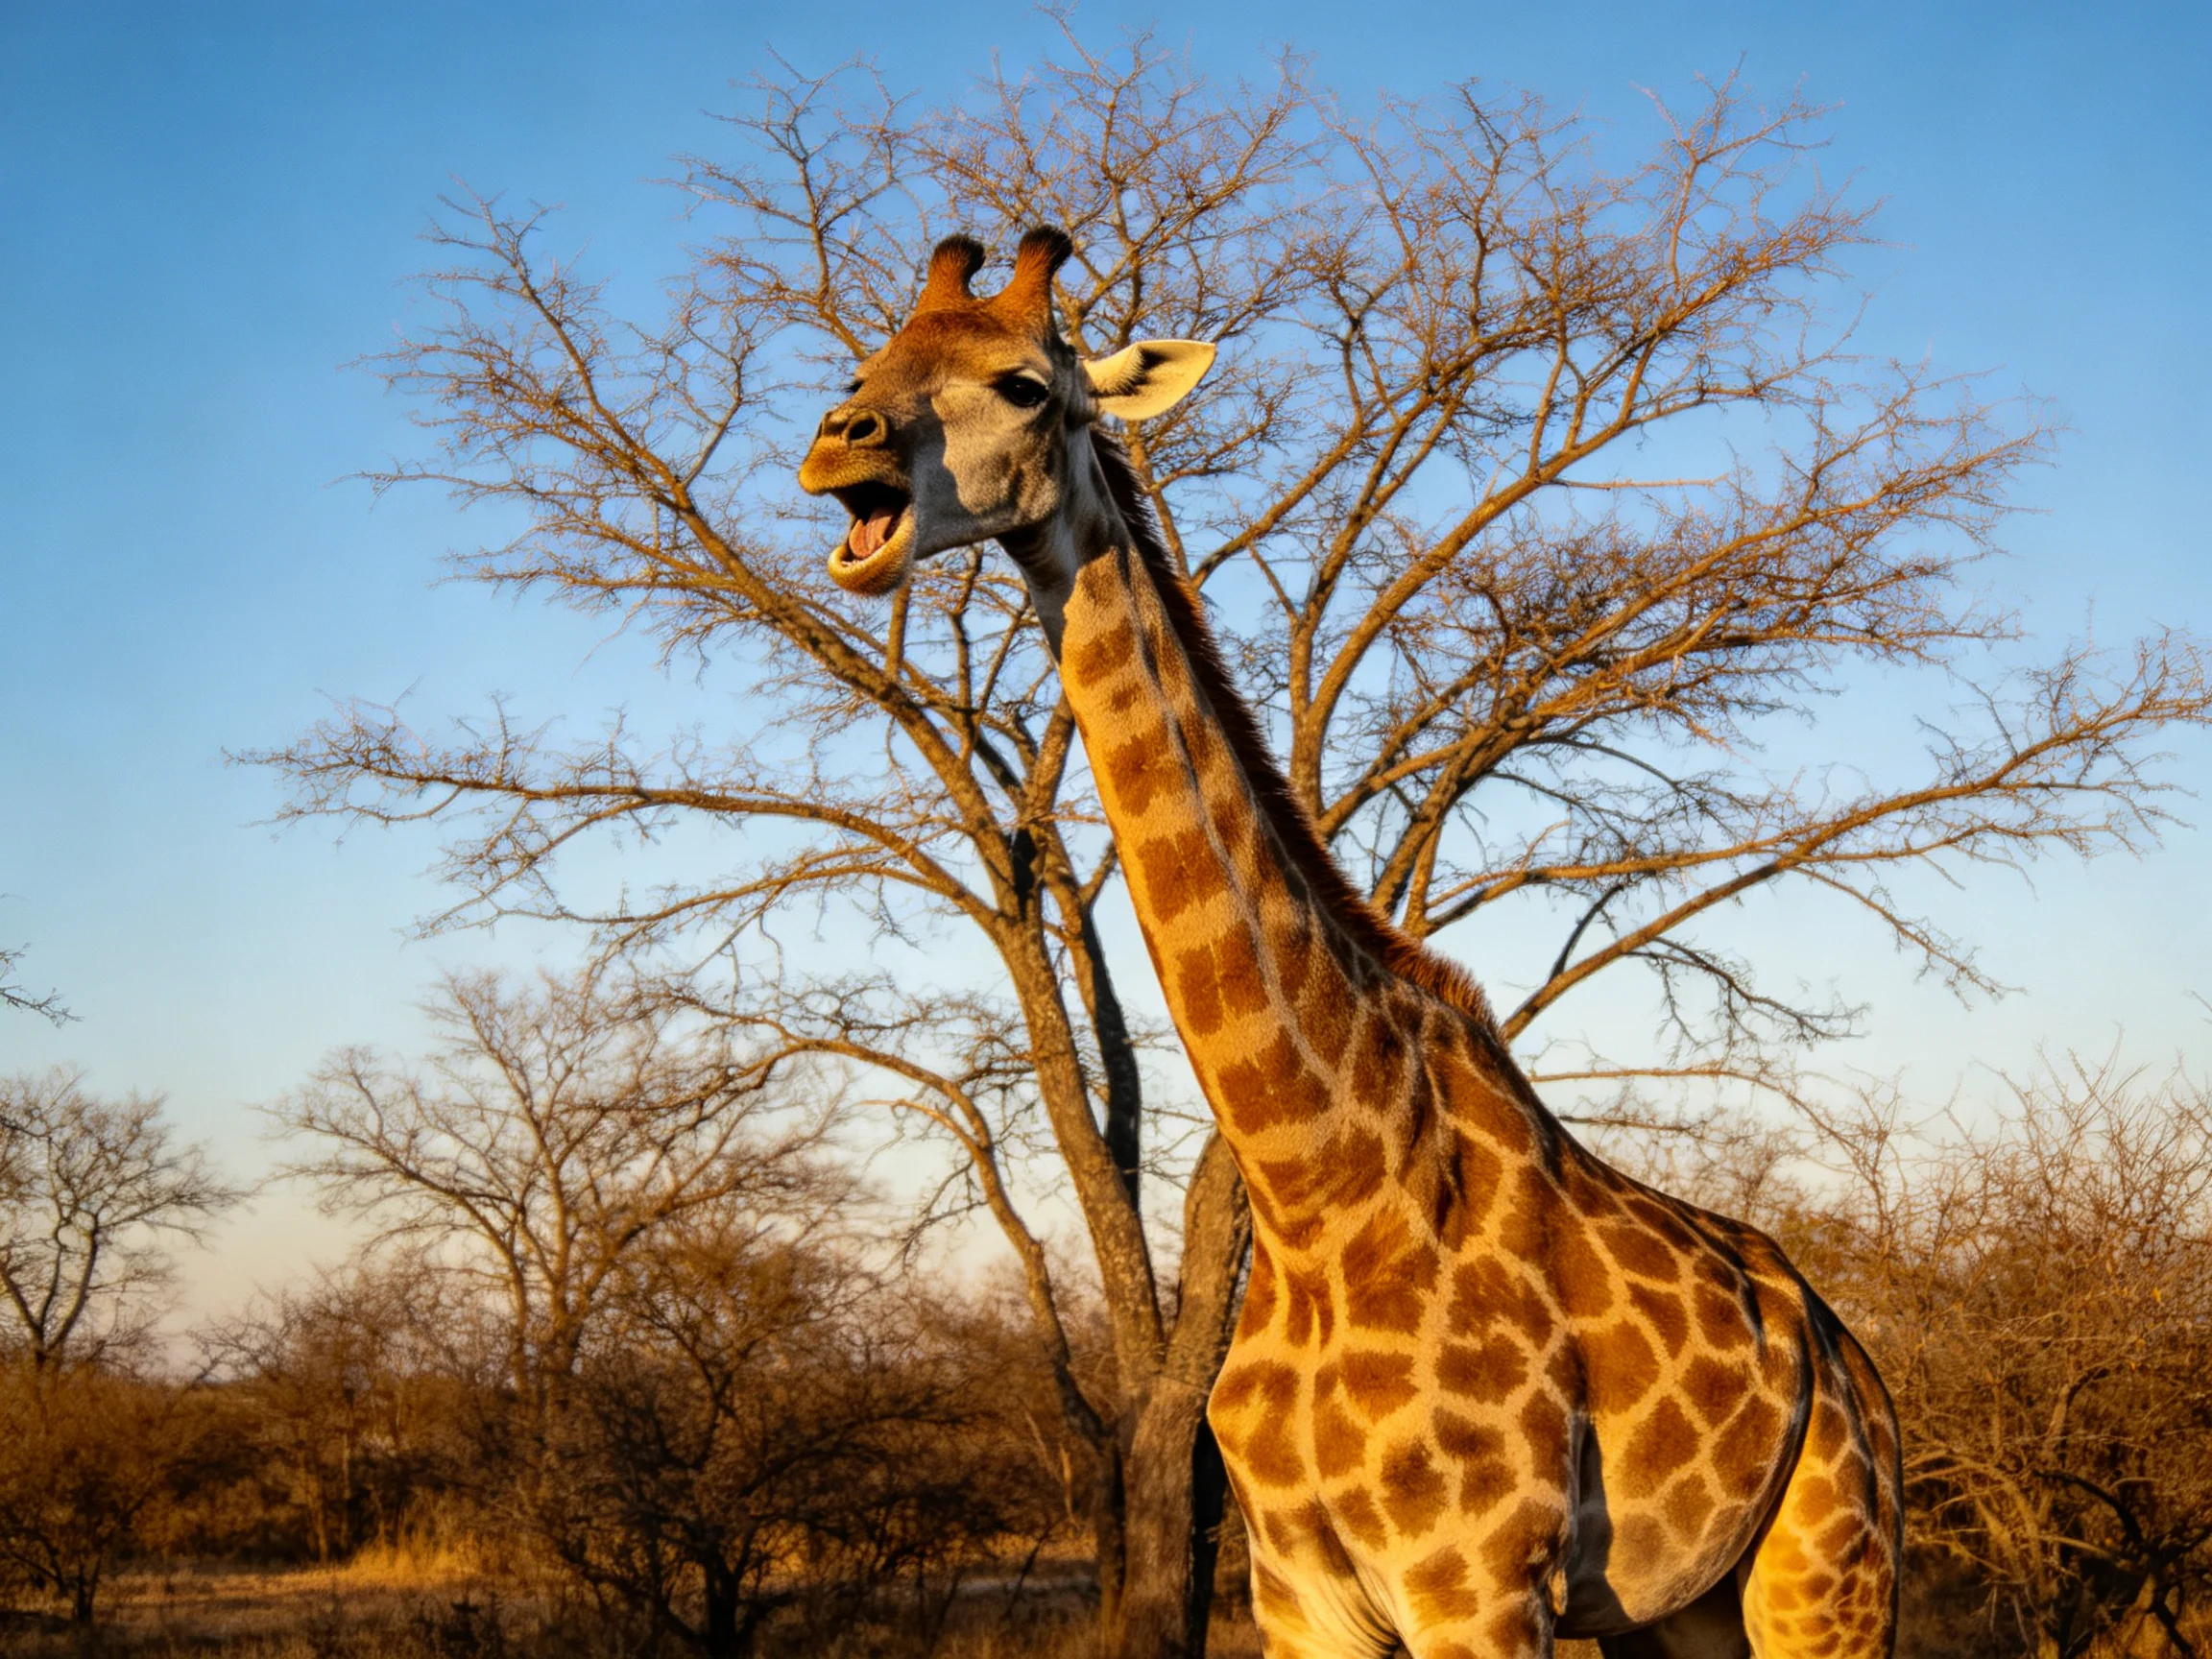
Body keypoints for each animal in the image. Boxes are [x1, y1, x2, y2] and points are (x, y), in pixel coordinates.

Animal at [799, 228, 1903, 1659]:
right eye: (861, 369)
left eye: (1027, 385)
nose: (837, 448)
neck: (1316, 1190)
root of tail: (1851, 1357)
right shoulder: (1297, 1590)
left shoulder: (1478, 1586)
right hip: (1680, 1610)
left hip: (1830, 1572)